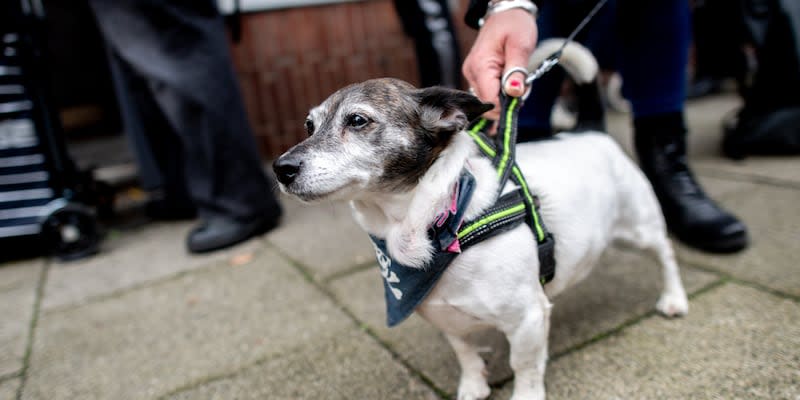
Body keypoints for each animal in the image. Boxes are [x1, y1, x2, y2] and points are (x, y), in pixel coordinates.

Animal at [276, 41, 688, 400]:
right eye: (309, 126)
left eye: (358, 120)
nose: (282, 168)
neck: (439, 224)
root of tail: (589, 130)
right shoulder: (448, 320)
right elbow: (466, 355)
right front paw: (473, 386)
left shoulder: (526, 319)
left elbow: (525, 366)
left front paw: (526, 395)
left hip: (640, 227)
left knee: (665, 253)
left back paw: (673, 298)